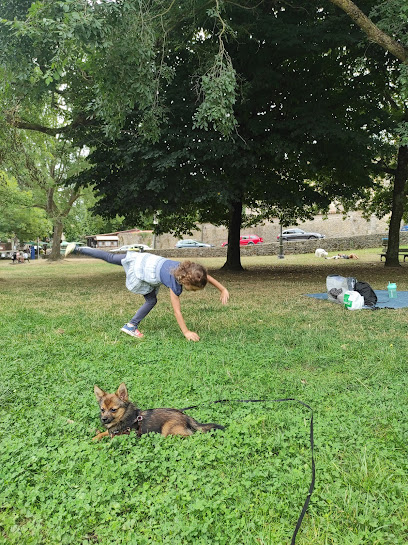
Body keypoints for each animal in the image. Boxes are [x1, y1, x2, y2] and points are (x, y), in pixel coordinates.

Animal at [93, 384, 225, 440]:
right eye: (102, 410)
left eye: (113, 410)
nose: (103, 419)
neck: (124, 417)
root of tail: (185, 416)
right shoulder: (111, 432)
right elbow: (104, 433)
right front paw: (95, 437)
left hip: (167, 430)